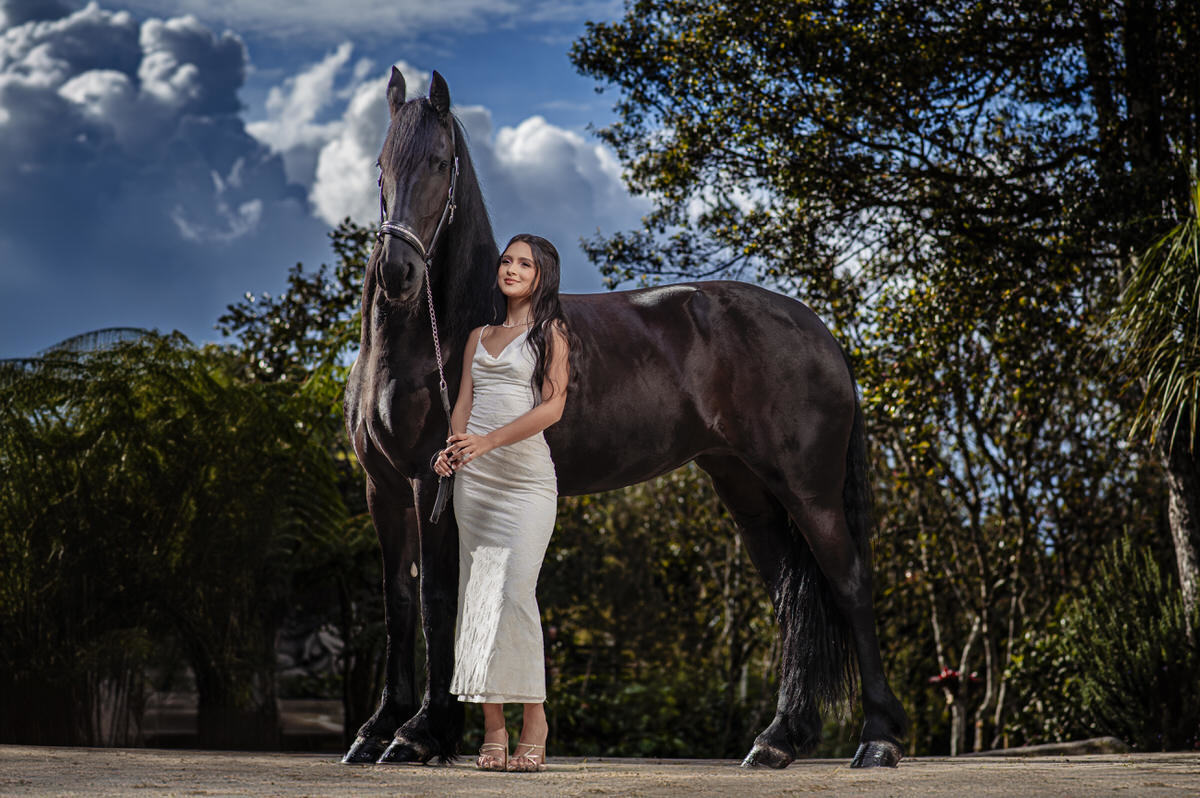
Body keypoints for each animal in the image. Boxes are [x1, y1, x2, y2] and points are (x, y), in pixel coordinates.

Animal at [342, 67, 909, 769]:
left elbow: (436, 598)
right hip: (747, 490)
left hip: (810, 491)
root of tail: (819, 332)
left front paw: (421, 732)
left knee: (850, 585)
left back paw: (878, 739)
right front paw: (377, 729)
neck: (430, 339)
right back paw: (779, 739)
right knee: (791, 597)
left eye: (441, 163)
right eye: (381, 164)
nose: (398, 273)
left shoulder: (431, 480)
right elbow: (397, 601)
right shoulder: (384, 486)